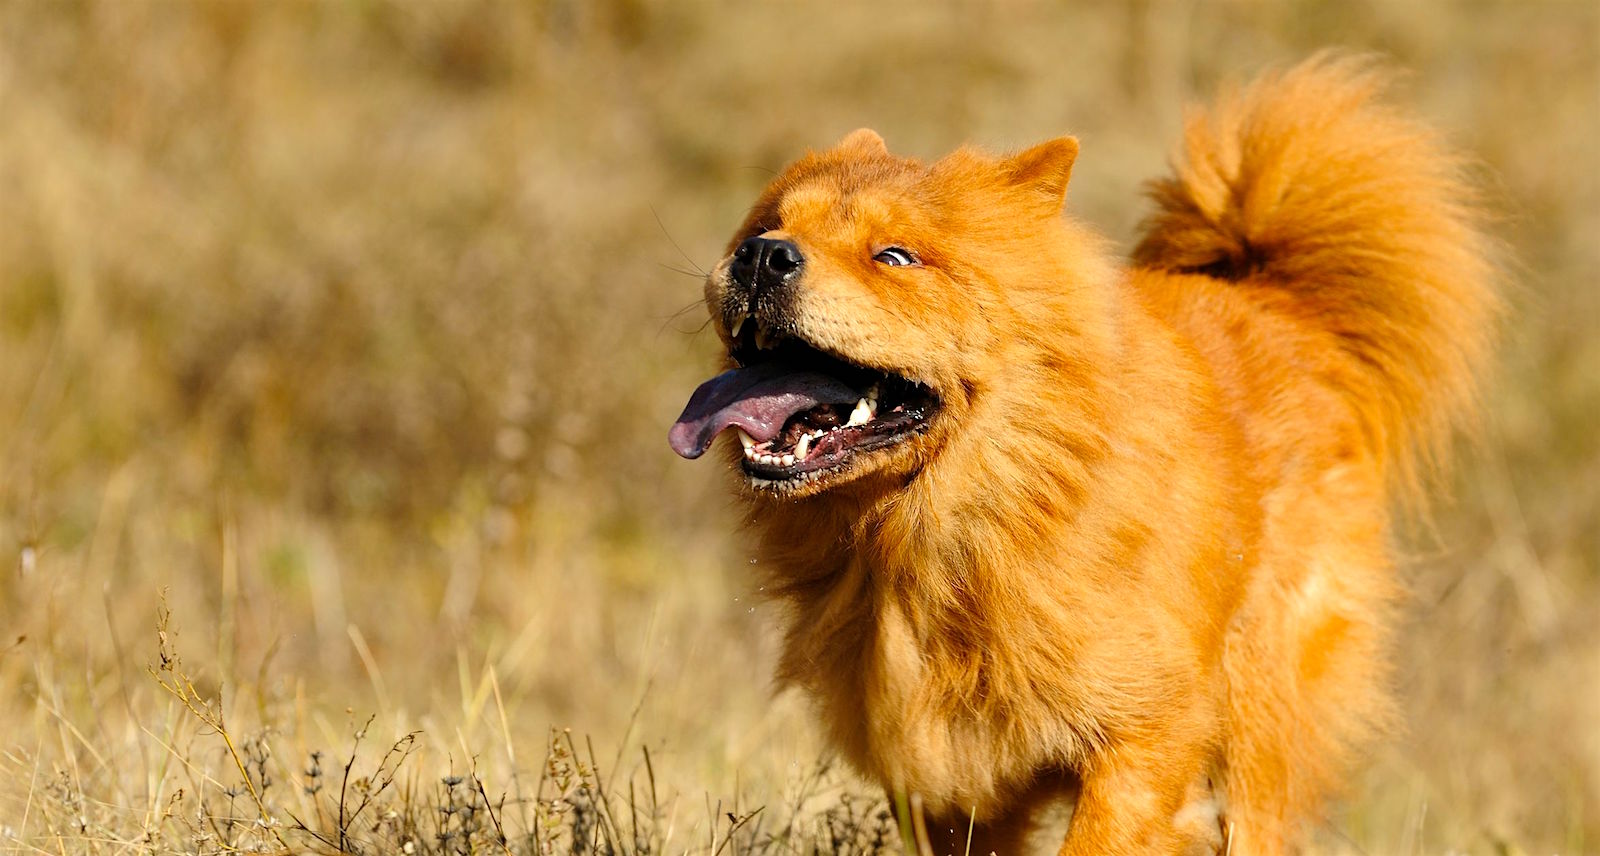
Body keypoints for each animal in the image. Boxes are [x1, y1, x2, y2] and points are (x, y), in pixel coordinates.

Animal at [665, 56, 1497, 851]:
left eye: (895, 257)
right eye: (765, 226)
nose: (762, 257)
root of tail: (1275, 299)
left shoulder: (1145, 735)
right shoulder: (948, 778)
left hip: (1259, 726)